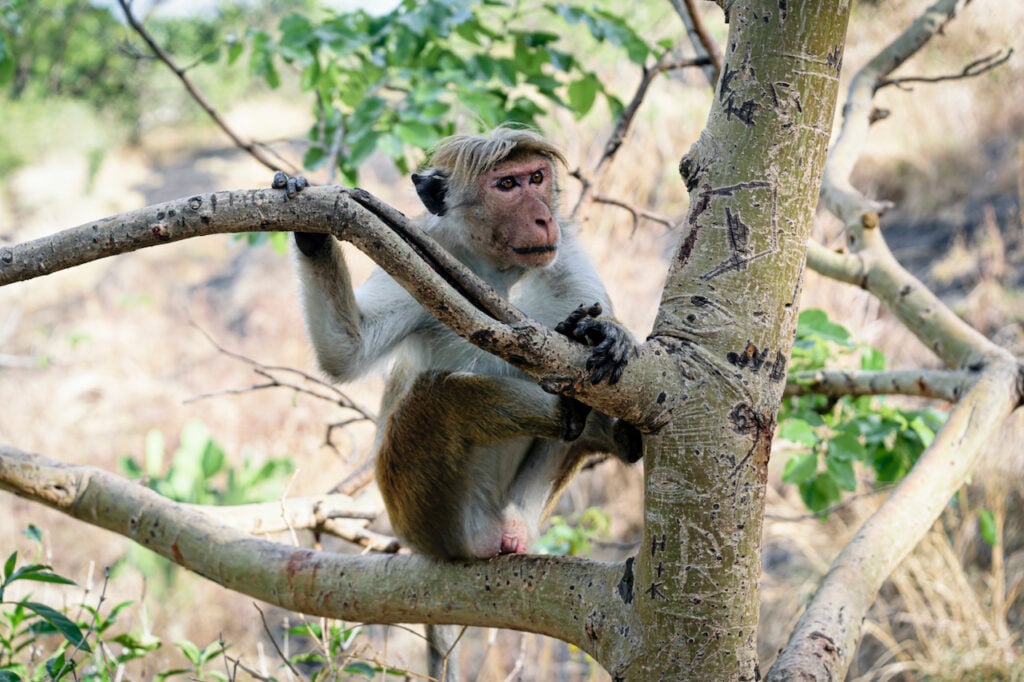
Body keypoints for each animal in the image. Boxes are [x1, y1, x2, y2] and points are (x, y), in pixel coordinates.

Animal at [284, 125, 638, 675]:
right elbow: (347, 350)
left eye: (537, 178)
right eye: (507, 185)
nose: (543, 216)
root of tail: (492, 531)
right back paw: (577, 416)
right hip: (424, 511)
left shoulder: (567, 261)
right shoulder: (423, 255)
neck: (501, 272)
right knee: (437, 398)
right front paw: (312, 228)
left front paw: (605, 332)